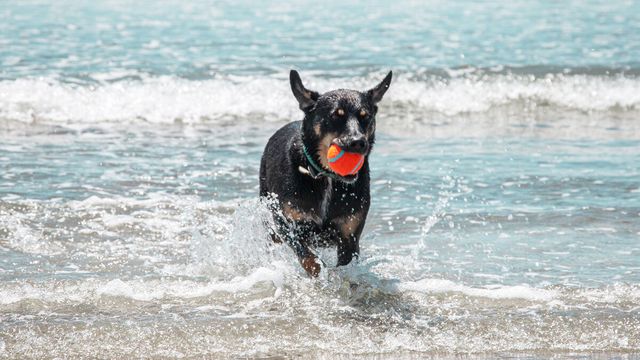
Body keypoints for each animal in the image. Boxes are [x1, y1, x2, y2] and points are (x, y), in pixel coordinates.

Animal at [258, 69, 390, 276]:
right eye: (336, 115)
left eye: (365, 116)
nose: (358, 142)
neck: (326, 176)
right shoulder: (288, 225)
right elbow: (308, 257)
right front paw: (318, 272)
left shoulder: (349, 235)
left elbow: (345, 264)